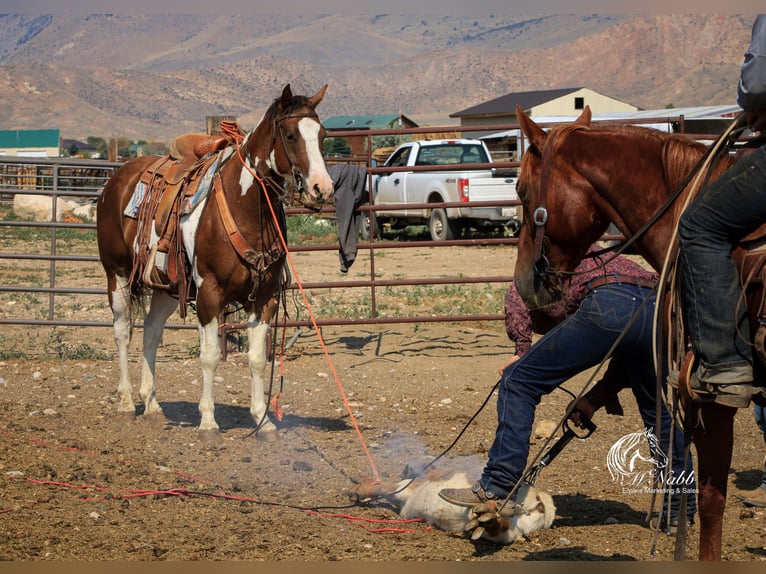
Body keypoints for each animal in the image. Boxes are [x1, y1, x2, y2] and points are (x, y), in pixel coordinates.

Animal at [96, 85, 332, 444]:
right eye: (291, 135)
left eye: (322, 135)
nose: (323, 188)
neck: (244, 206)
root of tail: (117, 178)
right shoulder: (209, 293)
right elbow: (209, 357)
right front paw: (208, 421)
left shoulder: (265, 299)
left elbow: (257, 359)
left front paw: (263, 420)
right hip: (118, 274)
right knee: (123, 330)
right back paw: (125, 402)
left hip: (166, 287)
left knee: (151, 331)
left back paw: (151, 404)